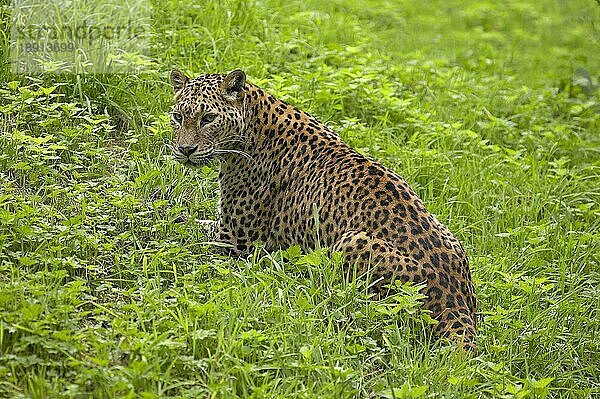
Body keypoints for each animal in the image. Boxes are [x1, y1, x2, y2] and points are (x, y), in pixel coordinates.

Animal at [169, 70, 478, 352]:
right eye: (177, 117)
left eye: (208, 118)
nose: (185, 149)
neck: (252, 122)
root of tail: (455, 295)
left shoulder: (235, 240)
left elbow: (187, 224)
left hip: (351, 242)